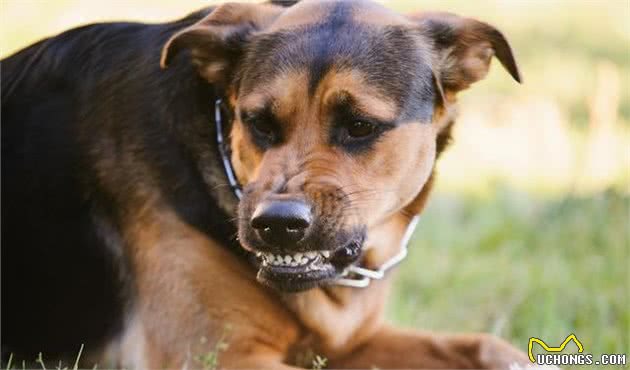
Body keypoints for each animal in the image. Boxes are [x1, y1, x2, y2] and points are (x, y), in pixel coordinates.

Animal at [1, 0, 528, 368]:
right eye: (259, 123)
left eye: (359, 126)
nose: (277, 224)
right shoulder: (219, 356)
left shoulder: (351, 341)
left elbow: (489, 347)